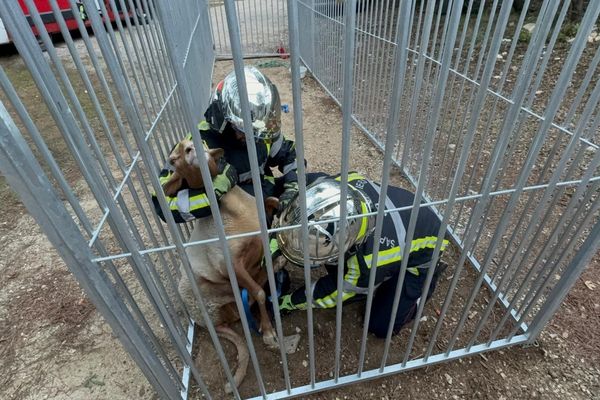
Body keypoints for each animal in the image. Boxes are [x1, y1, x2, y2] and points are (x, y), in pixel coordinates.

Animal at [164, 139, 282, 392]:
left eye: (194, 143)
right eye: (173, 161)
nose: (190, 150)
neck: (236, 211)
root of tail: (210, 324)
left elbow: (272, 201)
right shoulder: (231, 265)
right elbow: (258, 293)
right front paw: (269, 334)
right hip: (216, 289)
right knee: (251, 293)